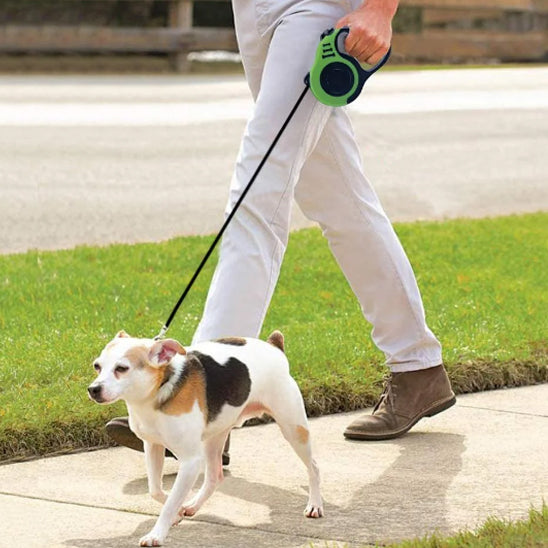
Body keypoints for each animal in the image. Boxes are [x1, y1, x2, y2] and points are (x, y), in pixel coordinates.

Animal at [88, 330, 324, 548]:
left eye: (121, 368)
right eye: (97, 366)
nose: (93, 389)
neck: (160, 389)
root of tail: (274, 346)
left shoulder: (190, 462)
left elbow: (170, 501)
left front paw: (157, 534)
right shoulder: (152, 446)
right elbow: (156, 490)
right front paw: (178, 512)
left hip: (293, 429)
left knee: (314, 467)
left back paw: (315, 504)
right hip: (214, 439)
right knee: (214, 477)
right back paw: (192, 505)